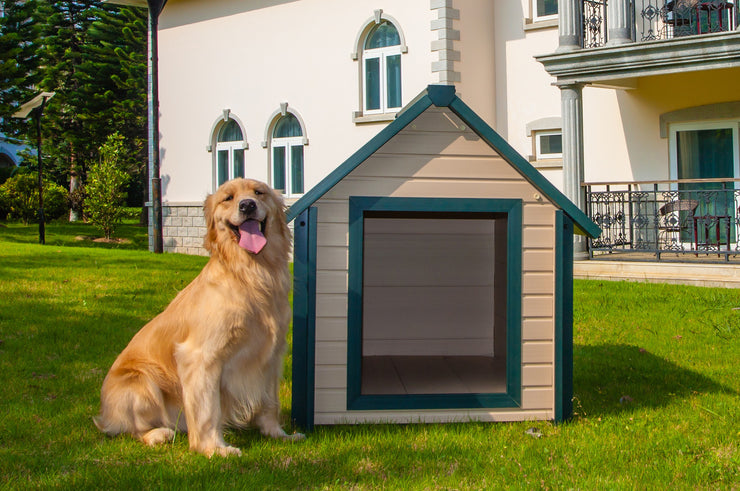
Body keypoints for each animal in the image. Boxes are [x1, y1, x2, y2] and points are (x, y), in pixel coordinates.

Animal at [95, 180, 304, 458]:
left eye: (259, 193)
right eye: (228, 198)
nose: (247, 205)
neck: (251, 274)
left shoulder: (271, 354)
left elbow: (270, 402)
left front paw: (278, 434)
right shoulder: (201, 358)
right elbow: (207, 410)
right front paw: (213, 448)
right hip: (141, 382)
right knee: (127, 429)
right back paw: (158, 433)